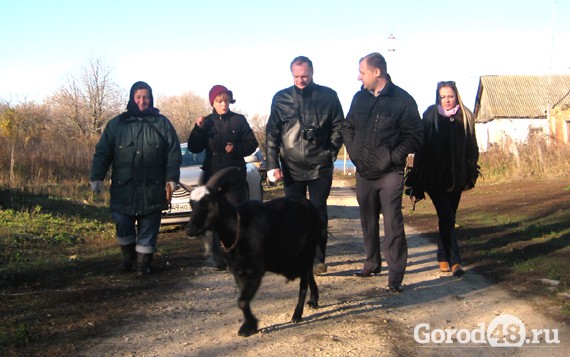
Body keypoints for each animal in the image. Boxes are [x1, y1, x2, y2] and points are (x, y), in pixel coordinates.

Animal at [186, 167, 320, 336]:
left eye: (211, 202)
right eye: (191, 203)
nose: (190, 230)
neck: (238, 229)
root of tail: (310, 205)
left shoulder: (255, 271)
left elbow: (242, 301)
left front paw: (249, 326)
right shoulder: (237, 271)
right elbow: (242, 300)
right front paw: (249, 325)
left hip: (308, 250)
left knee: (303, 283)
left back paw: (297, 314)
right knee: (308, 274)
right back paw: (314, 301)